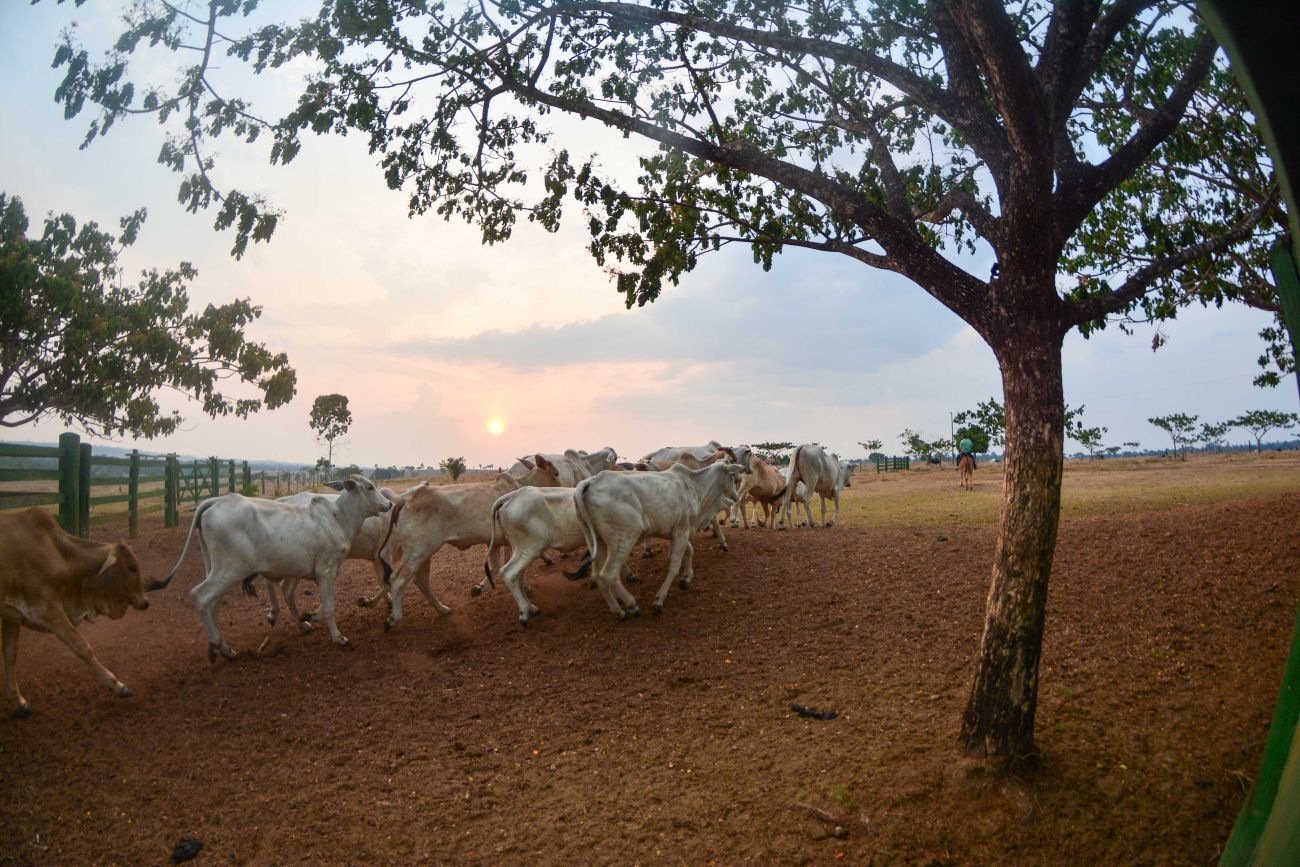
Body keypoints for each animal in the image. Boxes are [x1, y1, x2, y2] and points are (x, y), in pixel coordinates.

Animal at [1, 509, 162, 717]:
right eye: (131, 566)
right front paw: (118, 686)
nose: (145, 602)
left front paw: (20, 703)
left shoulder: (11, 615)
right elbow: (82, 646)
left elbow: (10, 655)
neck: (59, 555)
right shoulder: (47, 610)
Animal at [160, 475, 390, 657]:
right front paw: (339, 637)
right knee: (200, 596)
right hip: (230, 570)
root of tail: (216, 501)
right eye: (370, 487)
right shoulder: (327, 570)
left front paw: (309, 619)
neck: (338, 517)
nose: (388, 504)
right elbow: (330, 605)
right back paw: (218, 645)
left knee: (212, 604)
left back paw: (227, 649)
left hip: (216, 568)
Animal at [569, 460, 743, 616]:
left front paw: (686, 578)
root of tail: (590, 482)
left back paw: (617, 610)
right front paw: (659, 600)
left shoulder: (678, 532)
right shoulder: (681, 531)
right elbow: (674, 566)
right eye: (733, 476)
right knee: (608, 575)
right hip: (623, 540)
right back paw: (632, 605)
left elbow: (690, 552)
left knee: (597, 576)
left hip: (597, 542)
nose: (736, 496)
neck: (694, 485)